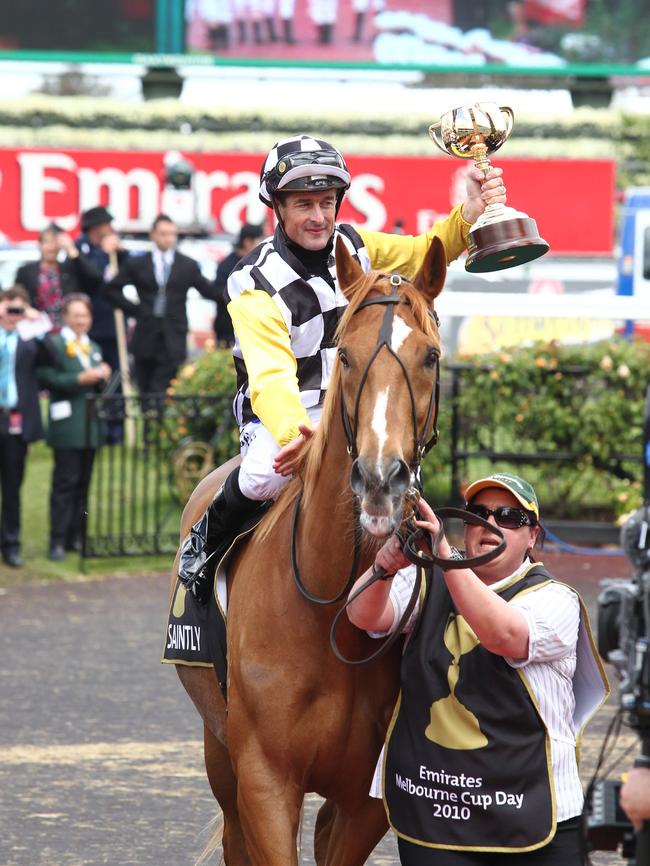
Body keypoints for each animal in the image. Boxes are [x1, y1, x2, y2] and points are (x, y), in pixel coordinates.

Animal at [171, 236, 446, 864]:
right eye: (345, 354)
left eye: (430, 357)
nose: (380, 479)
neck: (326, 616)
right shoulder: (264, 781)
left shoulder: (367, 800)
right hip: (218, 751)